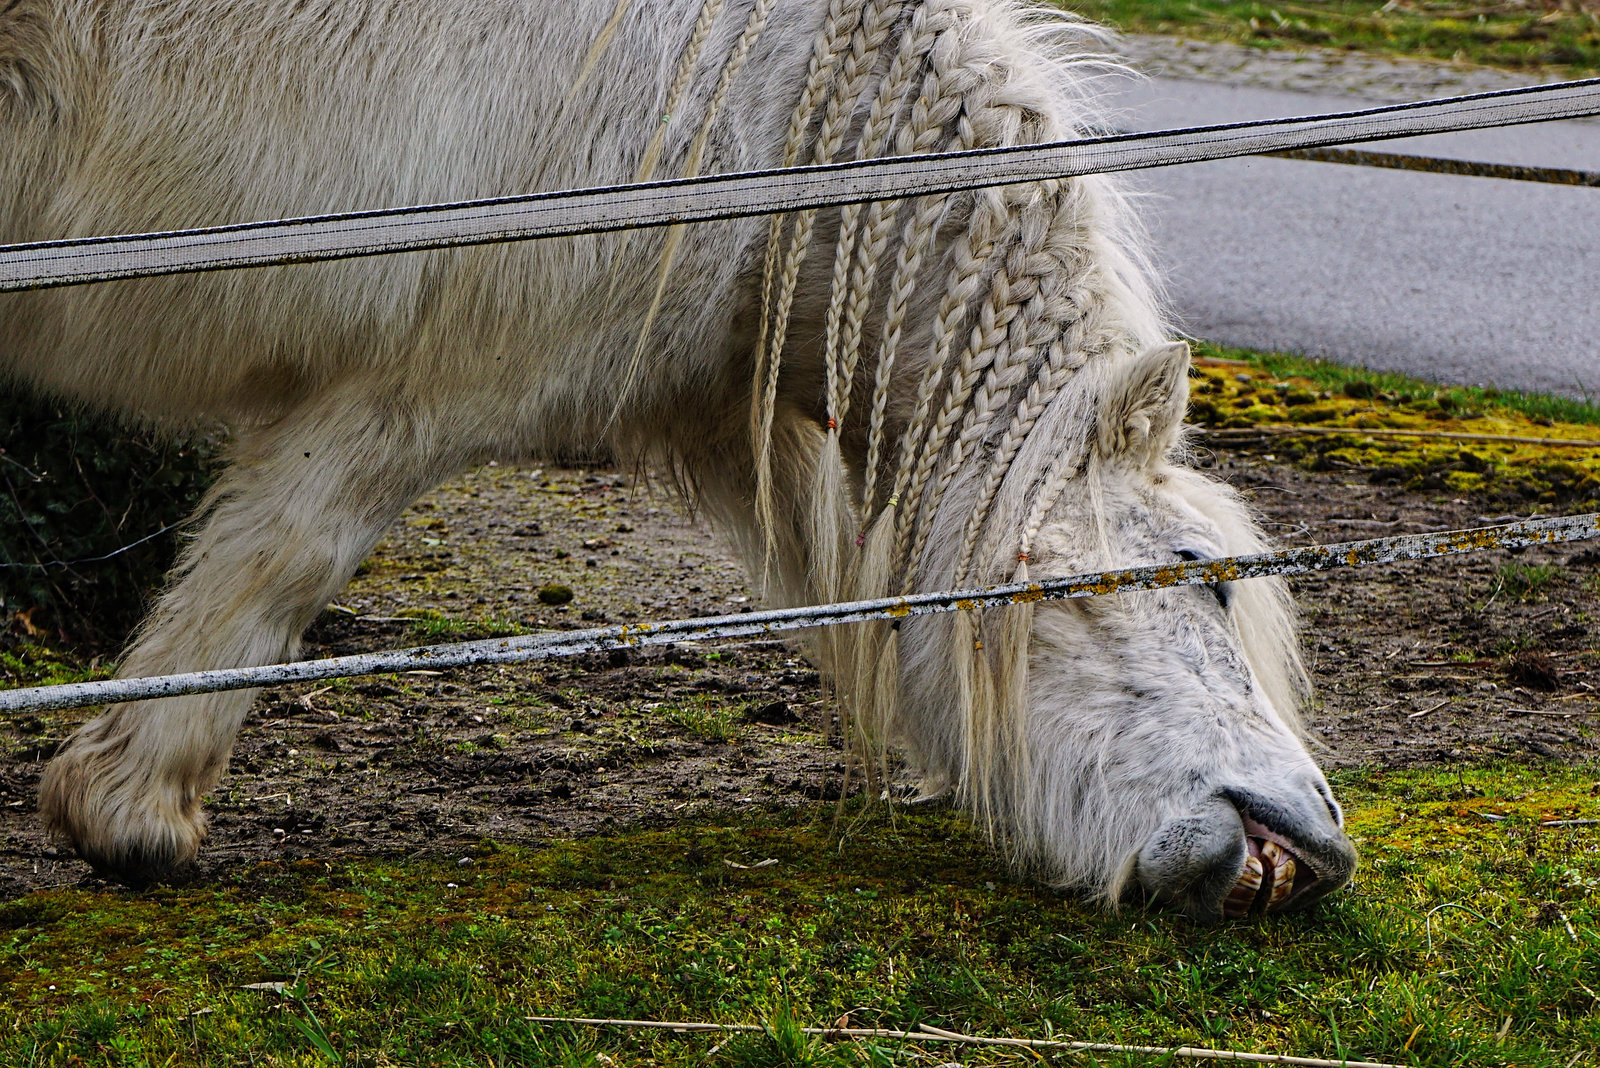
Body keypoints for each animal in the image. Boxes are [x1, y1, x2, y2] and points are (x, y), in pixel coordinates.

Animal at [0, 0, 1356, 920]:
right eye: (1201, 576)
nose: (1313, 847)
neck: (777, 113)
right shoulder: (404, 396)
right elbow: (278, 565)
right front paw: (134, 810)